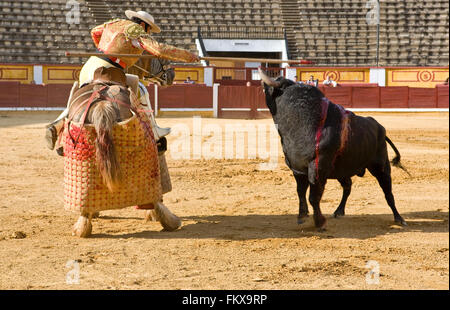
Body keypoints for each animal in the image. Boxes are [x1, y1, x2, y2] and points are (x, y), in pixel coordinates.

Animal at [256, 69, 408, 230]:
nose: (261, 83)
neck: (301, 122)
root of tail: (379, 127)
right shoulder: (297, 168)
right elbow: (301, 192)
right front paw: (302, 216)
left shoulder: (318, 168)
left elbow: (313, 197)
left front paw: (319, 222)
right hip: (342, 170)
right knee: (348, 186)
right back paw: (339, 211)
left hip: (381, 166)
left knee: (388, 192)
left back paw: (399, 219)